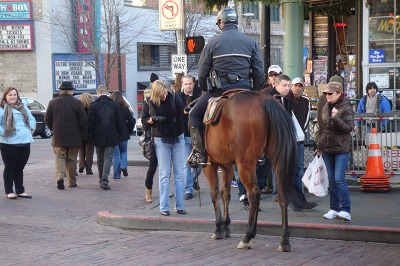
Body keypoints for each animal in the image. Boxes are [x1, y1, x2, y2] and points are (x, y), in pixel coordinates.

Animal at [203, 90, 316, 250]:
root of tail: (263, 99)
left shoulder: (209, 165)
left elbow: (215, 194)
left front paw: (219, 228)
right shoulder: (227, 165)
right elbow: (225, 193)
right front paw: (226, 226)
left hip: (245, 163)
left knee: (254, 193)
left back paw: (248, 236)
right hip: (276, 160)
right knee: (282, 193)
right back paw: (284, 240)